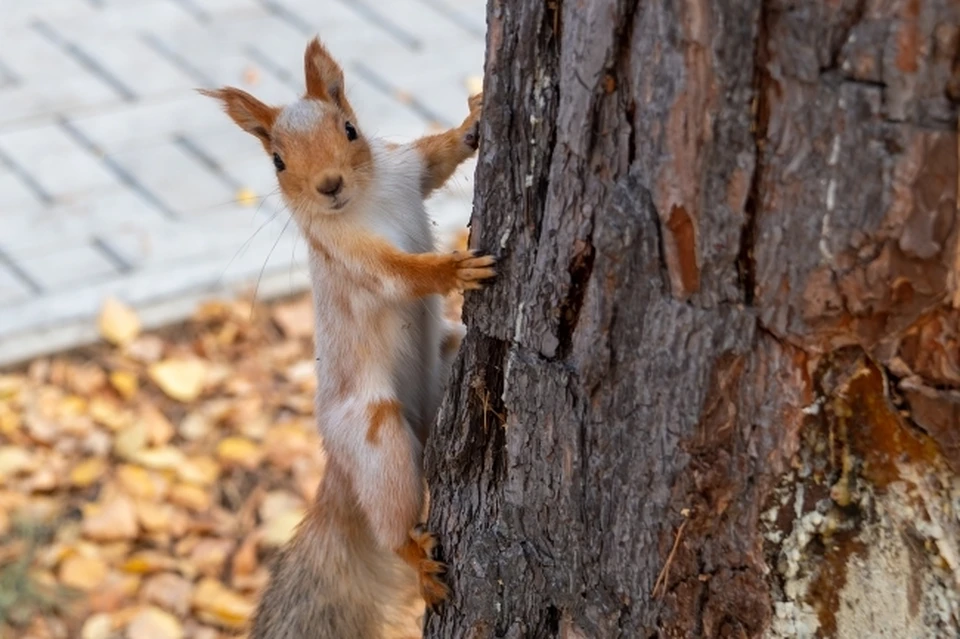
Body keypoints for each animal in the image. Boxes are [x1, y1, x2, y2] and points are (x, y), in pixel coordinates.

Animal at [199, 36, 492, 639]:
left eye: (351, 129)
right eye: (277, 161)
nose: (328, 185)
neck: (367, 199)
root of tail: (338, 471)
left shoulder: (407, 170)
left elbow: (438, 159)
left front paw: (473, 120)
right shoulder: (351, 256)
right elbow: (400, 275)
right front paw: (452, 269)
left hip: (447, 351)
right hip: (374, 439)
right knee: (391, 520)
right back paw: (415, 561)